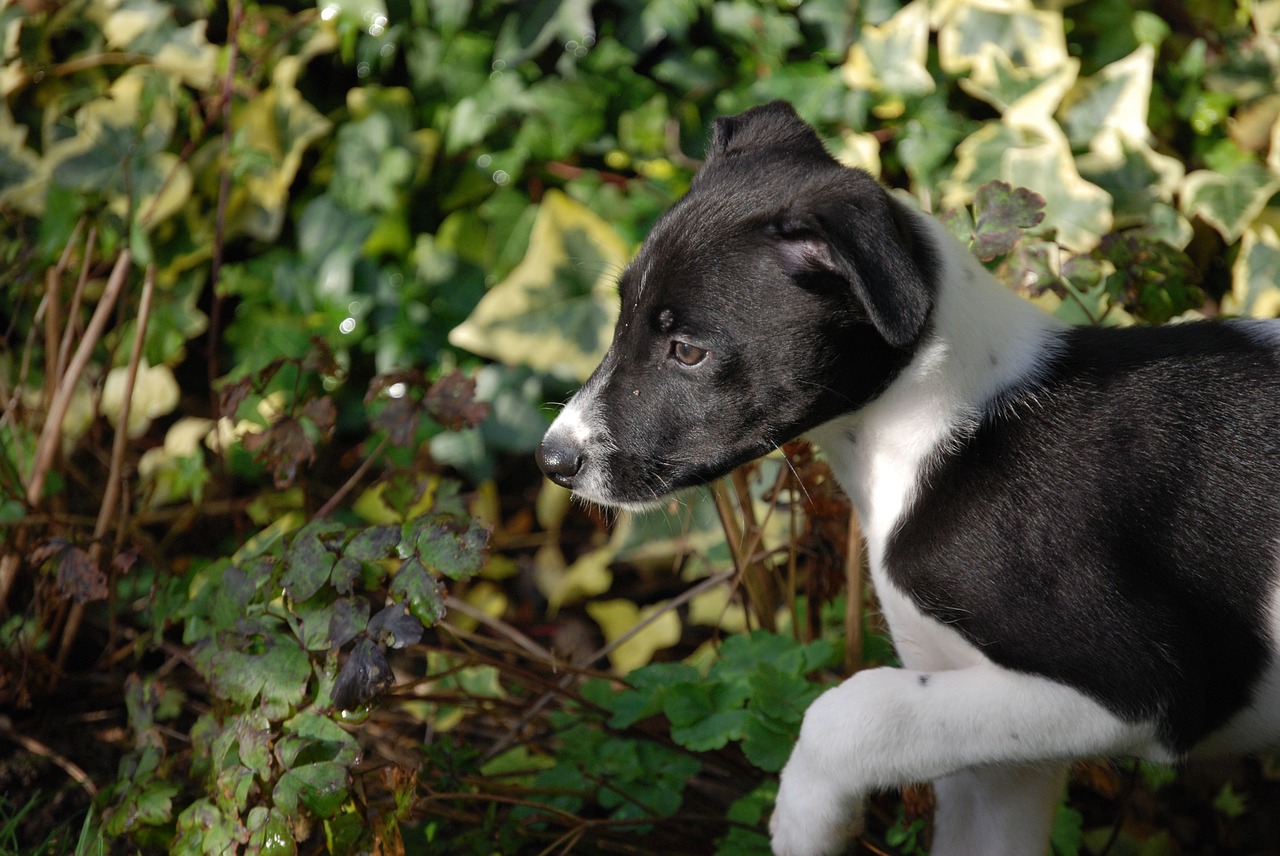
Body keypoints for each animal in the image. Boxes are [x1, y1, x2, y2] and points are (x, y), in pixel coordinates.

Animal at [535, 101, 1280, 854]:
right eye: (621, 318)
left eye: (687, 350)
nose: (552, 461)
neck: (949, 436)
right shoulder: (996, 741)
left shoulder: (1147, 686)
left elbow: (852, 710)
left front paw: (804, 820)